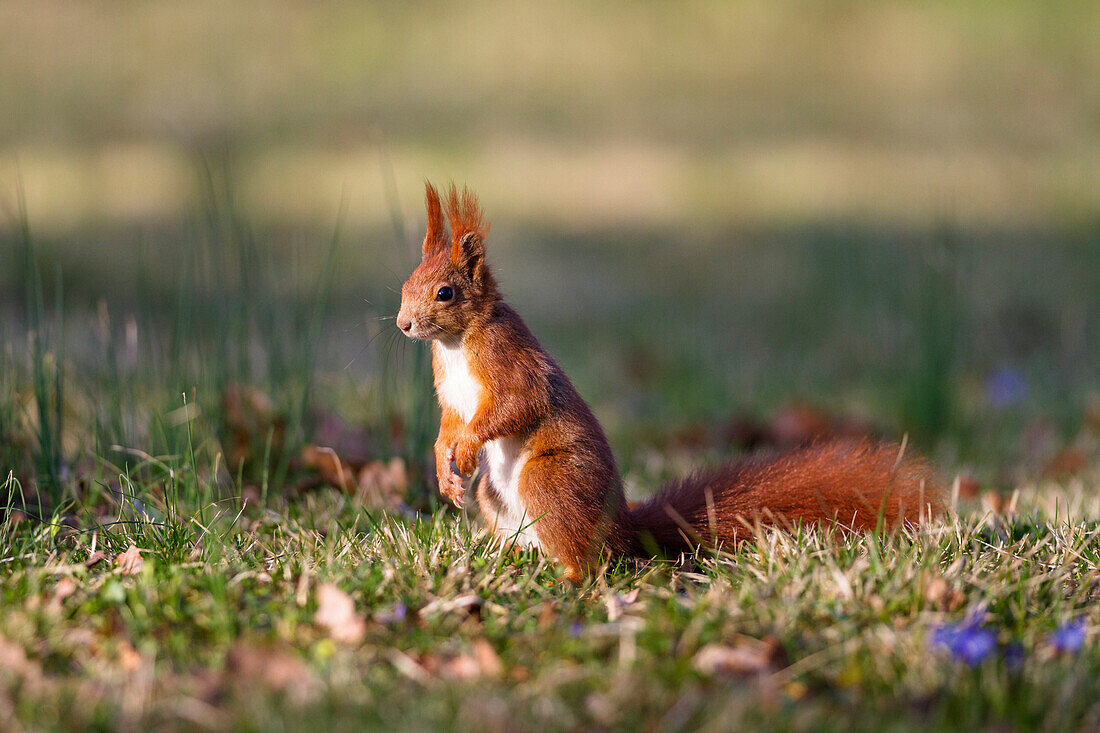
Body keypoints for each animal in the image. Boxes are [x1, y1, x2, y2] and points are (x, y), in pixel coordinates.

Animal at [400, 181, 941, 576]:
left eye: (446, 293)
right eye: (406, 285)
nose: (403, 324)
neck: (457, 343)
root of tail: (622, 529)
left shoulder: (509, 361)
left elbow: (517, 405)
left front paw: (468, 448)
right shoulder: (451, 394)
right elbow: (450, 421)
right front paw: (444, 464)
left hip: (549, 482)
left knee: (586, 560)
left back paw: (564, 577)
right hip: (495, 497)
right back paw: (511, 557)